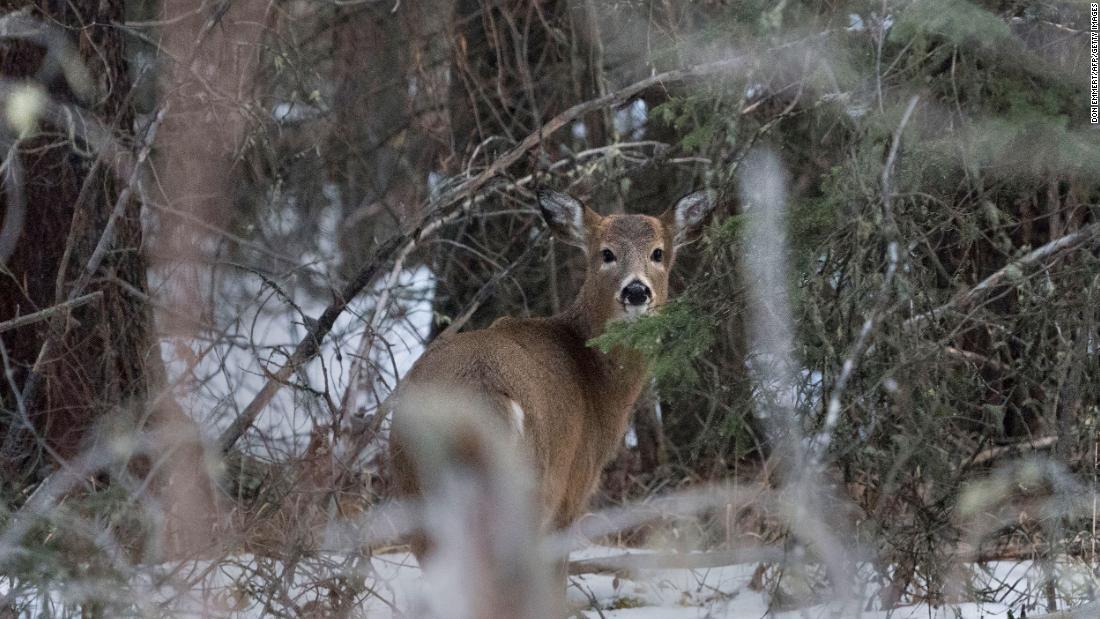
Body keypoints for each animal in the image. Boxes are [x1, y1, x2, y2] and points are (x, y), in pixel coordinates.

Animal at [385, 186, 712, 611]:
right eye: (606, 253)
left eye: (658, 252)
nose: (636, 290)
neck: (596, 380)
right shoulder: (574, 484)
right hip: (531, 485)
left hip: (417, 494)